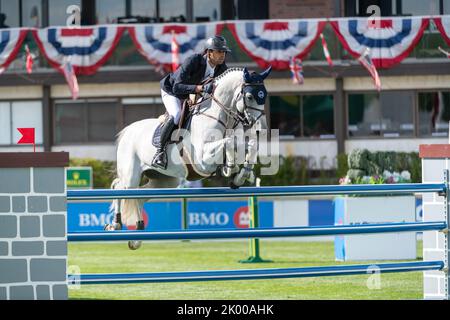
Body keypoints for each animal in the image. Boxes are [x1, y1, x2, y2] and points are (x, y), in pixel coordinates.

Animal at [107, 65, 272, 250]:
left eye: (264, 95)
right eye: (250, 96)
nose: (261, 129)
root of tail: (127, 131)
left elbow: (249, 146)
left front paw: (240, 175)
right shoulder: (203, 160)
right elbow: (229, 142)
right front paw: (231, 168)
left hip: (165, 181)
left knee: (138, 197)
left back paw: (136, 235)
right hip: (131, 175)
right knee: (119, 188)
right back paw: (117, 225)